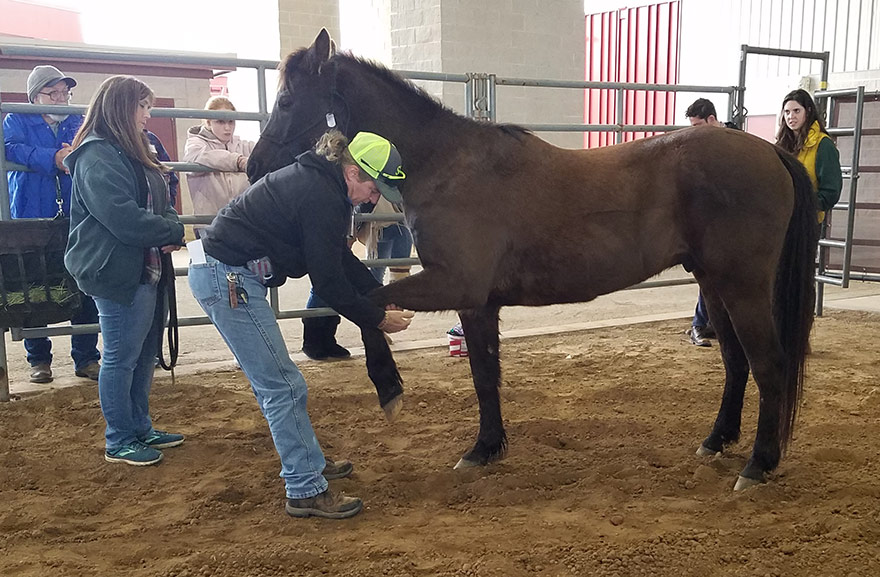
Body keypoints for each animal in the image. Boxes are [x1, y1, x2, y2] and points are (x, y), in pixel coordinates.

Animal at [247, 29, 819, 491]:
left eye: (287, 99)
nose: (255, 167)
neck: (446, 165)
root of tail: (768, 151)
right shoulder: (478, 303)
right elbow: (484, 373)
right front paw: (485, 448)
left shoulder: (454, 286)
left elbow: (369, 304)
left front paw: (391, 390)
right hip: (713, 284)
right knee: (736, 362)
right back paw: (716, 441)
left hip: (743, 285)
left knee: (768, 364)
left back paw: (758, 465)